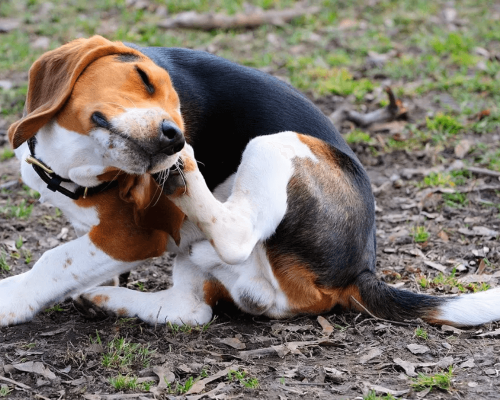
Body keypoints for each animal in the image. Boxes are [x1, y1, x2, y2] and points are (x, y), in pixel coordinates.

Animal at [0, 35, 500, 328]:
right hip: (199, 260)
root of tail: (358, 272)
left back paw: (185, 176)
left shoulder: (134, 235)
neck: (72, 163)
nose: (175, 135)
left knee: (235, 237)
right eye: (142, 77)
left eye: (181, 112)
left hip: (275, 143)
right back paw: (108, 299)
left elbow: (56, 260)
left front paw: (11, 300)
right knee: (193, 310)